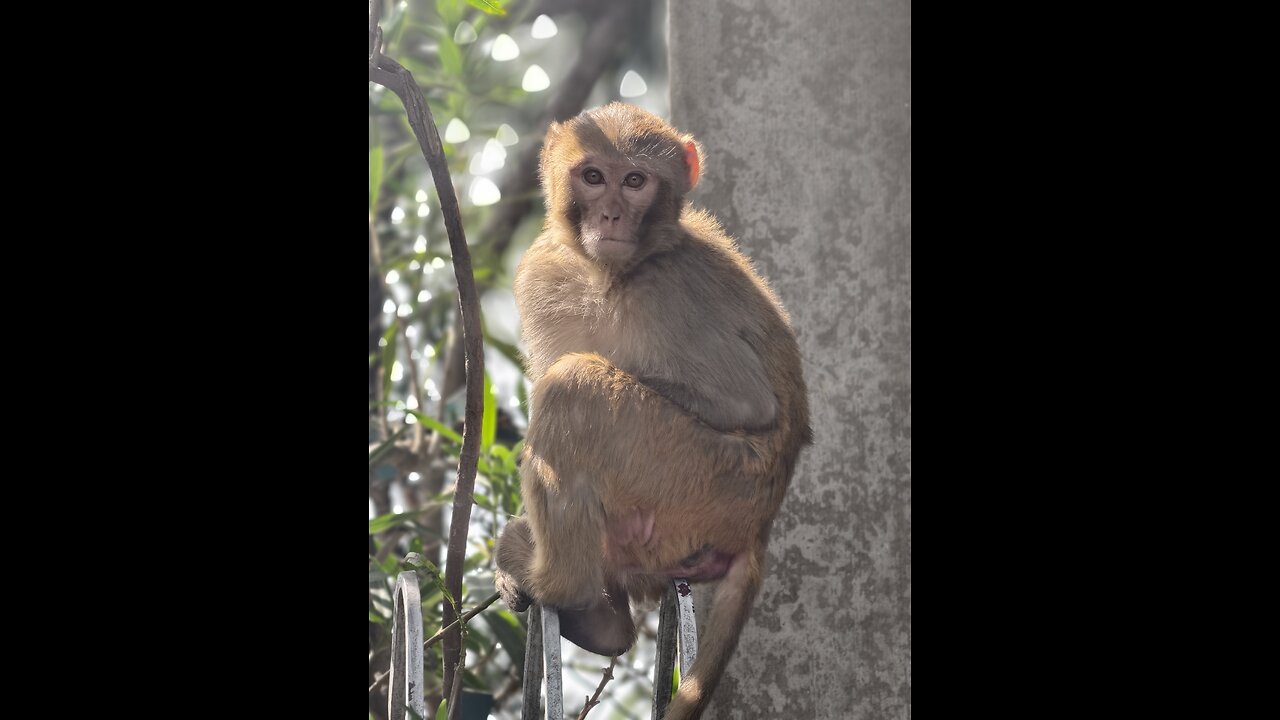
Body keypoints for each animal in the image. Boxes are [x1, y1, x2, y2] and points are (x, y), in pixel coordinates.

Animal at [494, 102, 811, 720]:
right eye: (594, 177)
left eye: (636, 181)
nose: (612, 214)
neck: (610, 275)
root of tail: (759, 528)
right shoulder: (542, 272)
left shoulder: (670, 292)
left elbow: (747, 403)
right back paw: (604, 622)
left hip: (701, 482)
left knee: (573, 388)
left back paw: (561, 586)